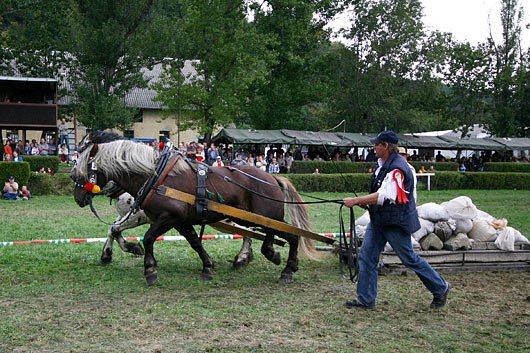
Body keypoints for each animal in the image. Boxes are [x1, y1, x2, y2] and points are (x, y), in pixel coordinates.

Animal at [71, 131, 318, 284]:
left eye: (82, 165)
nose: (78, 197)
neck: (155, 177)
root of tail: (272, 178)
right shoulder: (179, 221)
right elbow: (194, 242)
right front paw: (208, 267)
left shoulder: (163, 218)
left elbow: (145, 237)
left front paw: (149, 268)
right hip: (253, 217)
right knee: (267, 235)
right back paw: (261, 258)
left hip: (265, 215)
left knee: (288, 236)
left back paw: (281, 267)